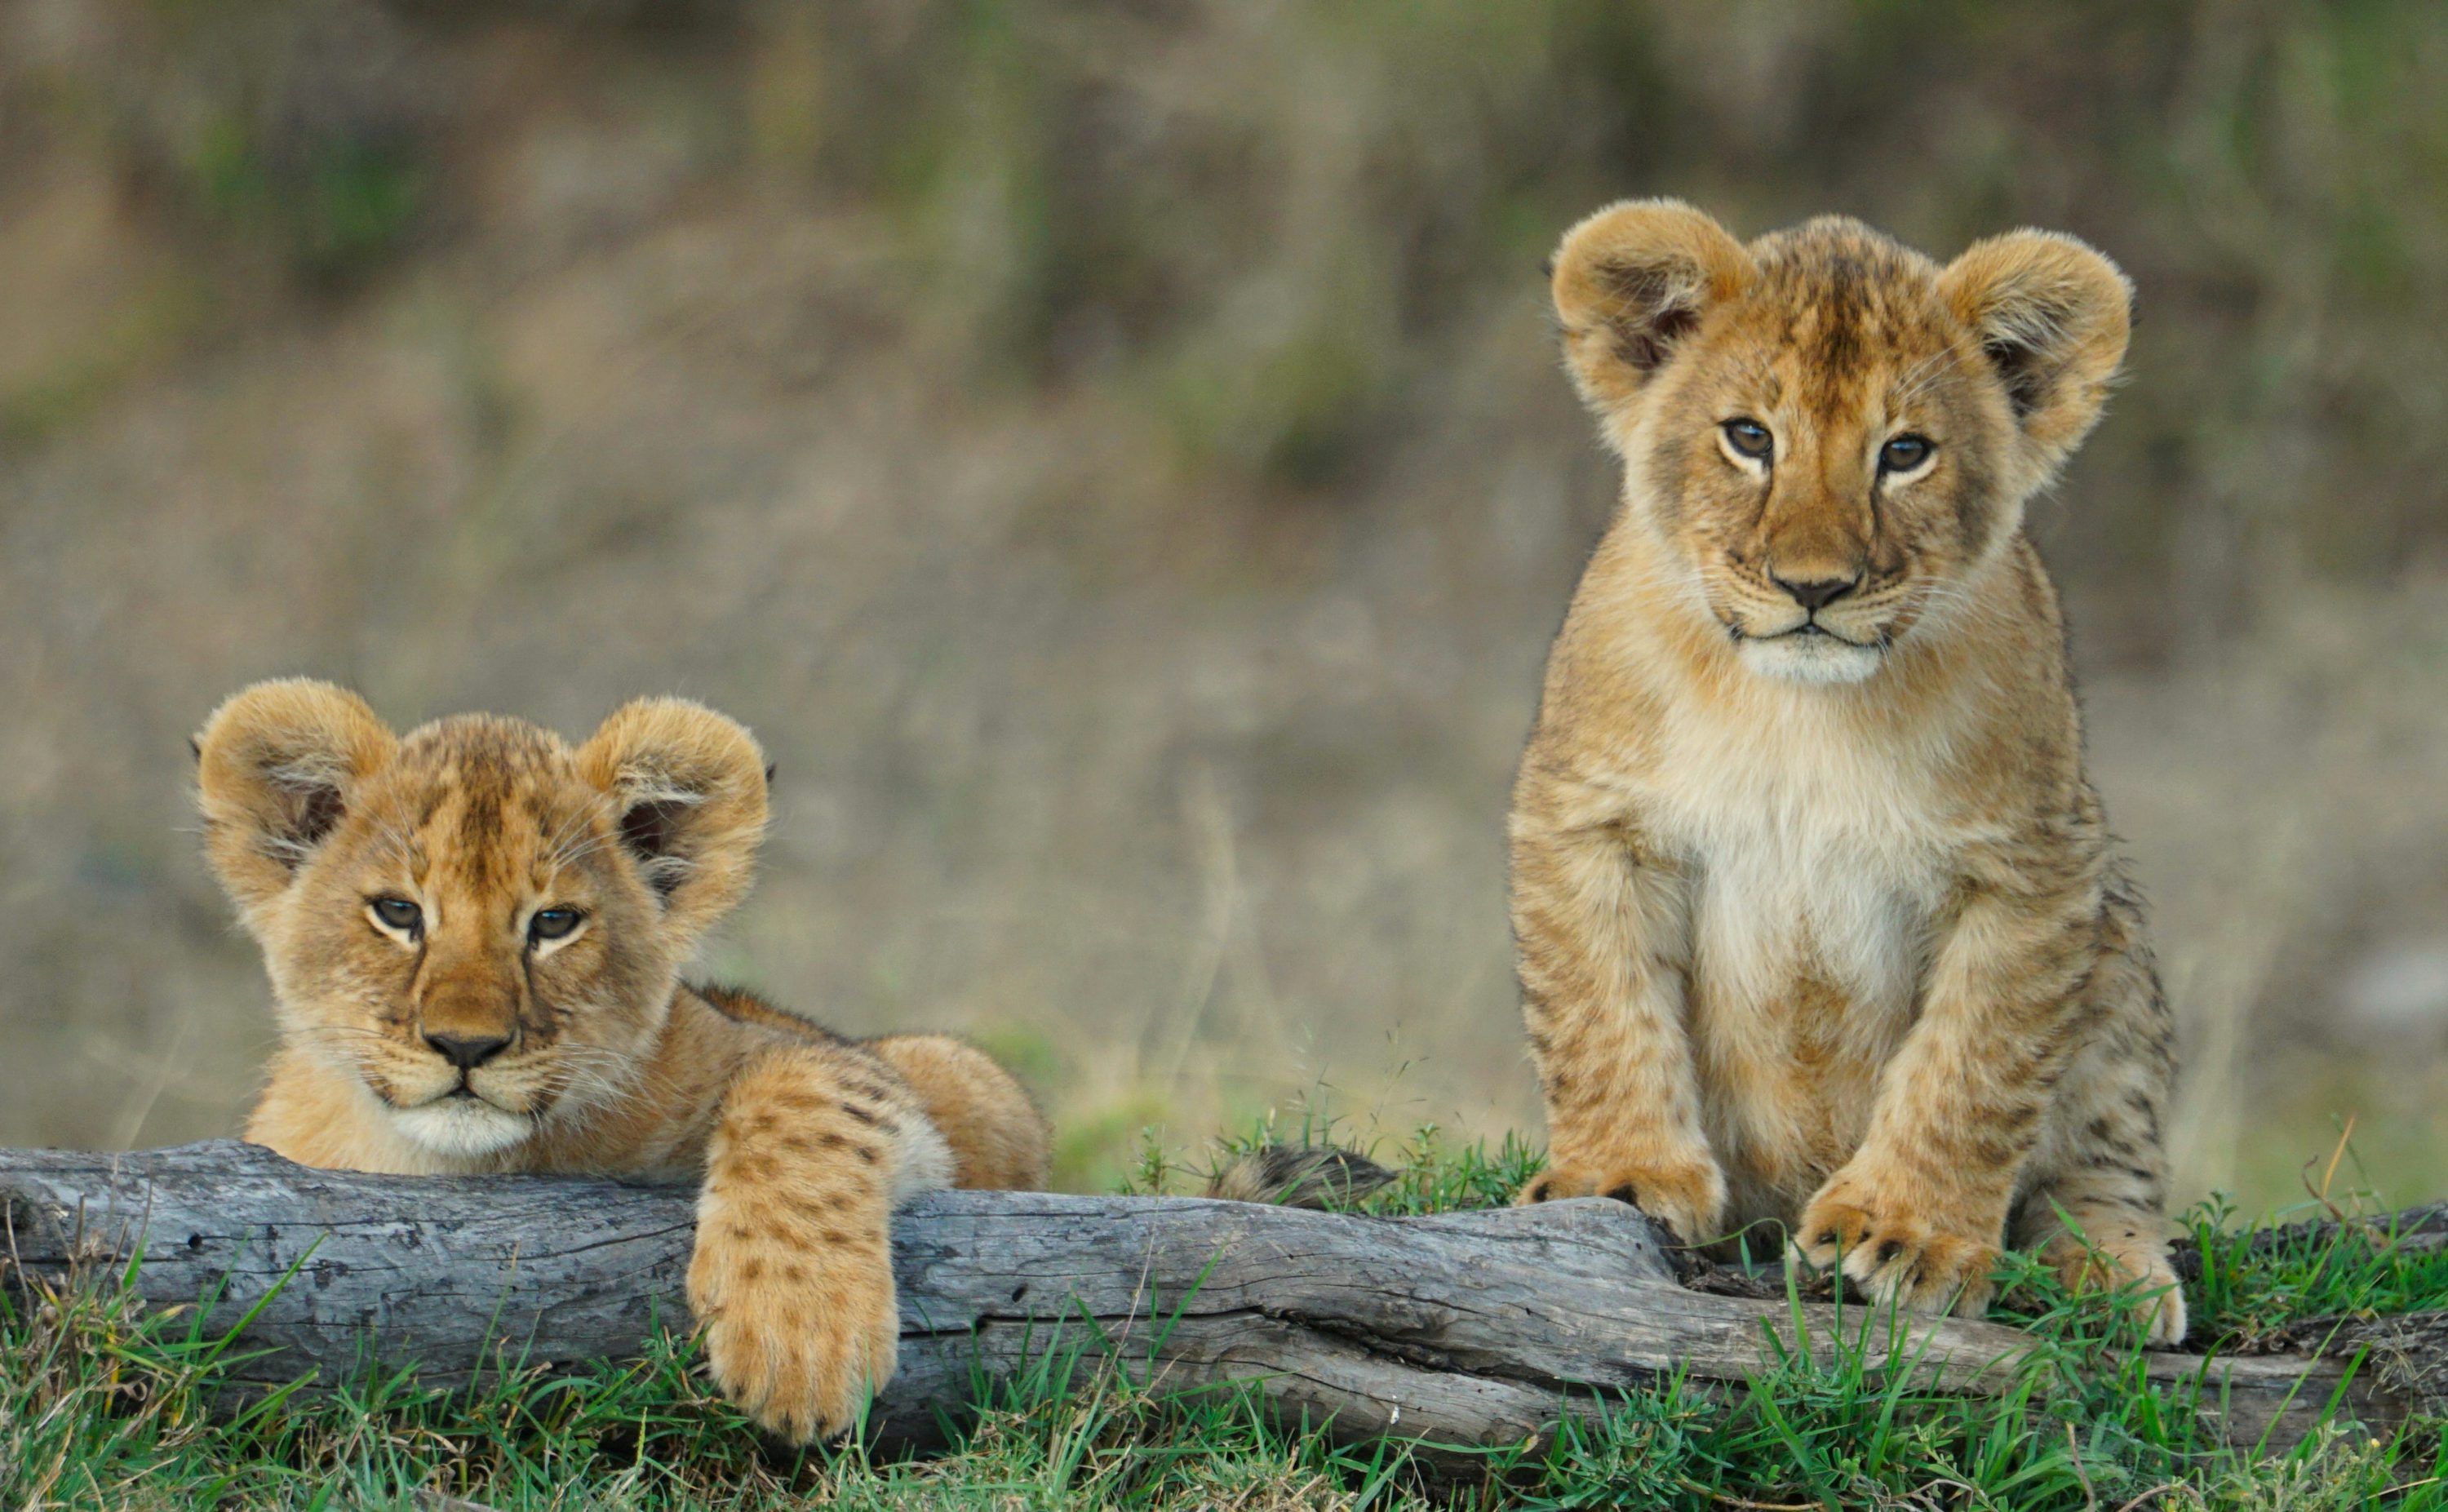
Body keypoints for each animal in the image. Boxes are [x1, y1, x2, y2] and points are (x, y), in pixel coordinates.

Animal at [193, 679, 1051, 1439]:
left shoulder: (882, 1069)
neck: (455, 1166)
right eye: (398, 912)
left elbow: (809, 1096)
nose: (466, 1044)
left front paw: (801, 1340)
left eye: (554, 922)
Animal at [1509, 201, 2184, 1343]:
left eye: (1904, 453)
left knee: (2110, 1158)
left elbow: (1973, 1067)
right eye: (1749, 436)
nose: (1813, 586)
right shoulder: (1584, 815)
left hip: (2119, 940)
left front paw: (1908, 1234)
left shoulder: (2036, 864)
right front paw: (1620, 1174)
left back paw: (2115, 1274)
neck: (1801, 716)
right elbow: (1599, 1010)